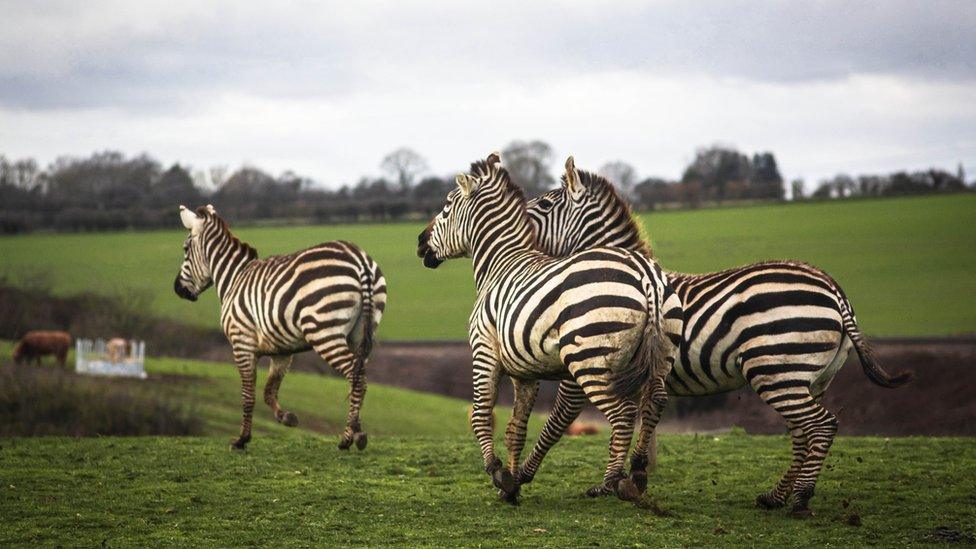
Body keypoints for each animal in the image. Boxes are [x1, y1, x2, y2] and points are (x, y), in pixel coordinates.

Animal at [172, 204, 386, 450]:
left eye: (185, 249)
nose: (177, 288)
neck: (234, 279)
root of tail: (359, 259)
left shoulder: (241, 343)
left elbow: (248, 395)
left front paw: (242, 439)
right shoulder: (282, 351)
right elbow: (269, 391)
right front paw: (287, 418)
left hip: (325, 333)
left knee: (355, 376)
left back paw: (347, 438)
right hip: (360, 333)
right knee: (361, 375)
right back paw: (357, 432)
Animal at [414, 153, 680, 506]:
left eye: (446, 206)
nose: (419, 243)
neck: (500, 262)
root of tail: (646, 275)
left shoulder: (484, 350)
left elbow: (481, 414)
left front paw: (497, 471)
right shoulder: (525, 370)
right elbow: (517, 427)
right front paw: (511, 486)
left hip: (591, 363)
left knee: (623, 414)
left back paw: (611, 483)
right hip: (658, 359)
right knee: (655, 401)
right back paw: (634, 474)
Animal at [528, 157, 916, 512]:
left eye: (544, 204)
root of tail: (834, 289)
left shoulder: (584, 369)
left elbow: (556, 424)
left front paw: (523, 475)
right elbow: (641, 421)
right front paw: (634, 477)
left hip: (776, 371)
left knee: (821, 426)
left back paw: (800, 499)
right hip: (810, 378)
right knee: (803, 433)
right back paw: (776, 496)